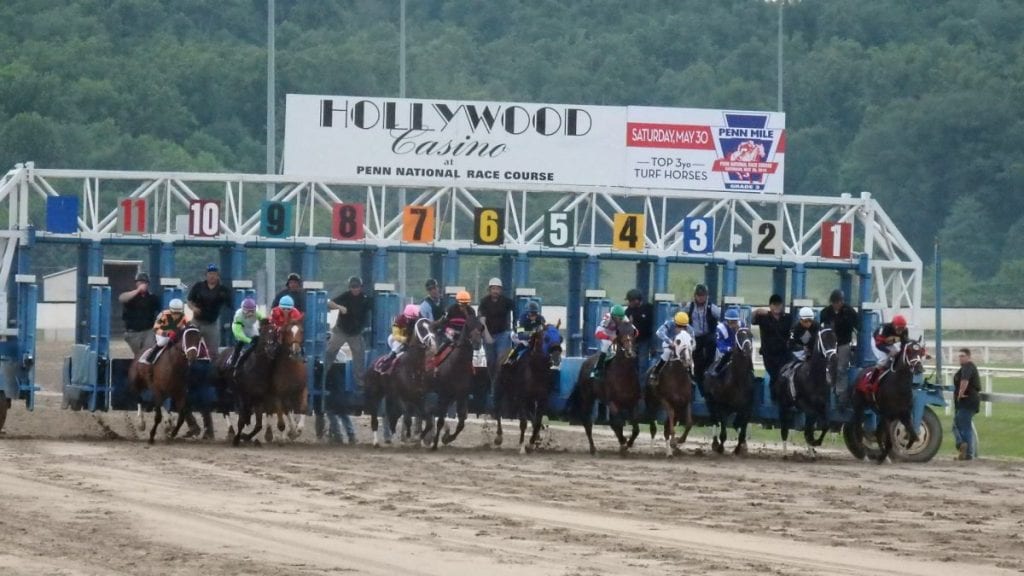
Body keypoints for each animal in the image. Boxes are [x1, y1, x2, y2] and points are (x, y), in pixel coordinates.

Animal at [428, 313, 483, 448]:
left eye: (481, 327)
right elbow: (440, 419)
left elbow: (462, 422)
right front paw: (435, 443)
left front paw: (447, 438)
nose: (477, 343)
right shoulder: (444, 394)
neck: (457, 365)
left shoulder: (461, 395)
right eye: (468, 325)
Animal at [493, 323, 565, 453]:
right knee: (498, 411)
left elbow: (537, 422)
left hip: (529, 400)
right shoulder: (521, 397)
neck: (536, 369)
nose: (556, 356)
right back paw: (498, 437)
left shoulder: (542, 399)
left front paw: (531, 443)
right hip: (499, 388)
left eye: (560, 338)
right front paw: (522, 446)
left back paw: (537, 437)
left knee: (533, 417)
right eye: (546, 338)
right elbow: (523, 422)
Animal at [573, 317, 634, 453]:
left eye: (633, 331)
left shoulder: (632, 403)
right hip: (587, 398)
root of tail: (585, 361)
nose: (629, 351)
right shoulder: (612, 402)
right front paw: (624, 442)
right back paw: (593, 448)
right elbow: (618, 422)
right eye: (618, 331)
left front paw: (625, 442)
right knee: (587, 421)